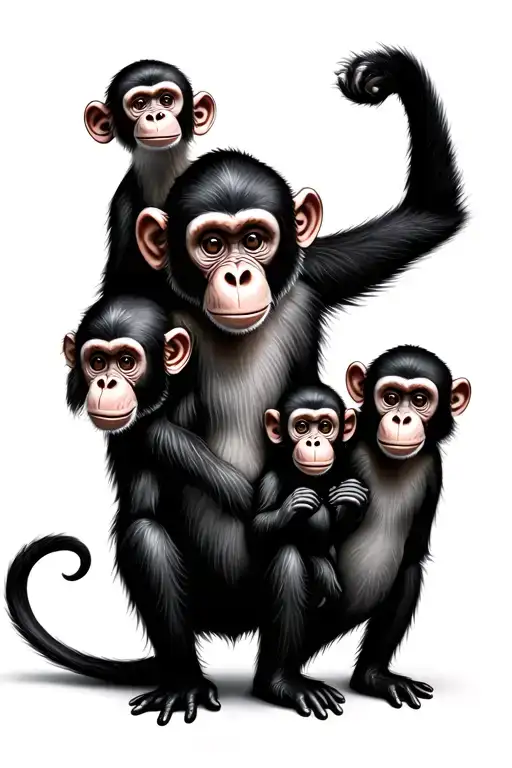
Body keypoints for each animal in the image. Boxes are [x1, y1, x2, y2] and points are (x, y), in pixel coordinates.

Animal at [251, 384, 368, 715]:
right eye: (301, 426)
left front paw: (353, 499)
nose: (314, 441)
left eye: (325, 426)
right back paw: (282, 684)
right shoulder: (270, 480)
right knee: (287, 556)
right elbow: (257, 528)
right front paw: (292, 508)